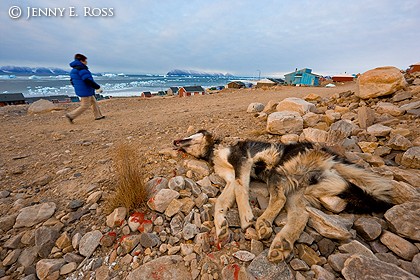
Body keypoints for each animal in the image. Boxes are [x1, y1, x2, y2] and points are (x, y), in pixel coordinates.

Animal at [172, 130, 396, 262]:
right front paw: (221, 226)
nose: (174, 140)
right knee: (302, 214)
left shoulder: (242, 161)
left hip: (280, 172)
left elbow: (241, 188)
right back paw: (282, 244)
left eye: (191, 133)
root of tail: (330, 157)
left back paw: (263, 223)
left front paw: (245, 217)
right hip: (298, 188)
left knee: (280, 199)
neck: (213, 149)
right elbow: (222, 200)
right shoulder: (229, 177)